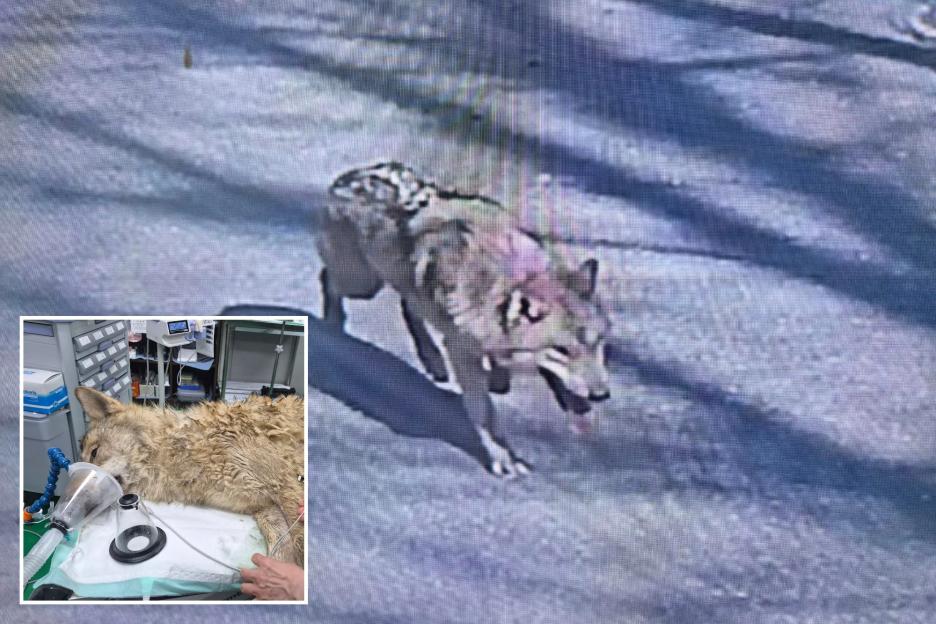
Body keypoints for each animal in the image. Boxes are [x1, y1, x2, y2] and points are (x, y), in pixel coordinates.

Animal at [74, 387, 305, 566]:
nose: (79, 511)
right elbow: (282, 550)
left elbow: (300, 543)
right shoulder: (263, 506)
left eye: (94, 453)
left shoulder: (285, 487)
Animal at [316, 161, 611, 477]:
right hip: (362, 284)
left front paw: (499, 377)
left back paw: (432, 360)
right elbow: (484, 413)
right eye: (562, 351)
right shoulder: (462, 351)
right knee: (329, 279)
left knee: (409, 305)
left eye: (597, 344)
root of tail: (350, 175)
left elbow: (501, 375)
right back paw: (333, 326)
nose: (601, 395)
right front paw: (504, 458)